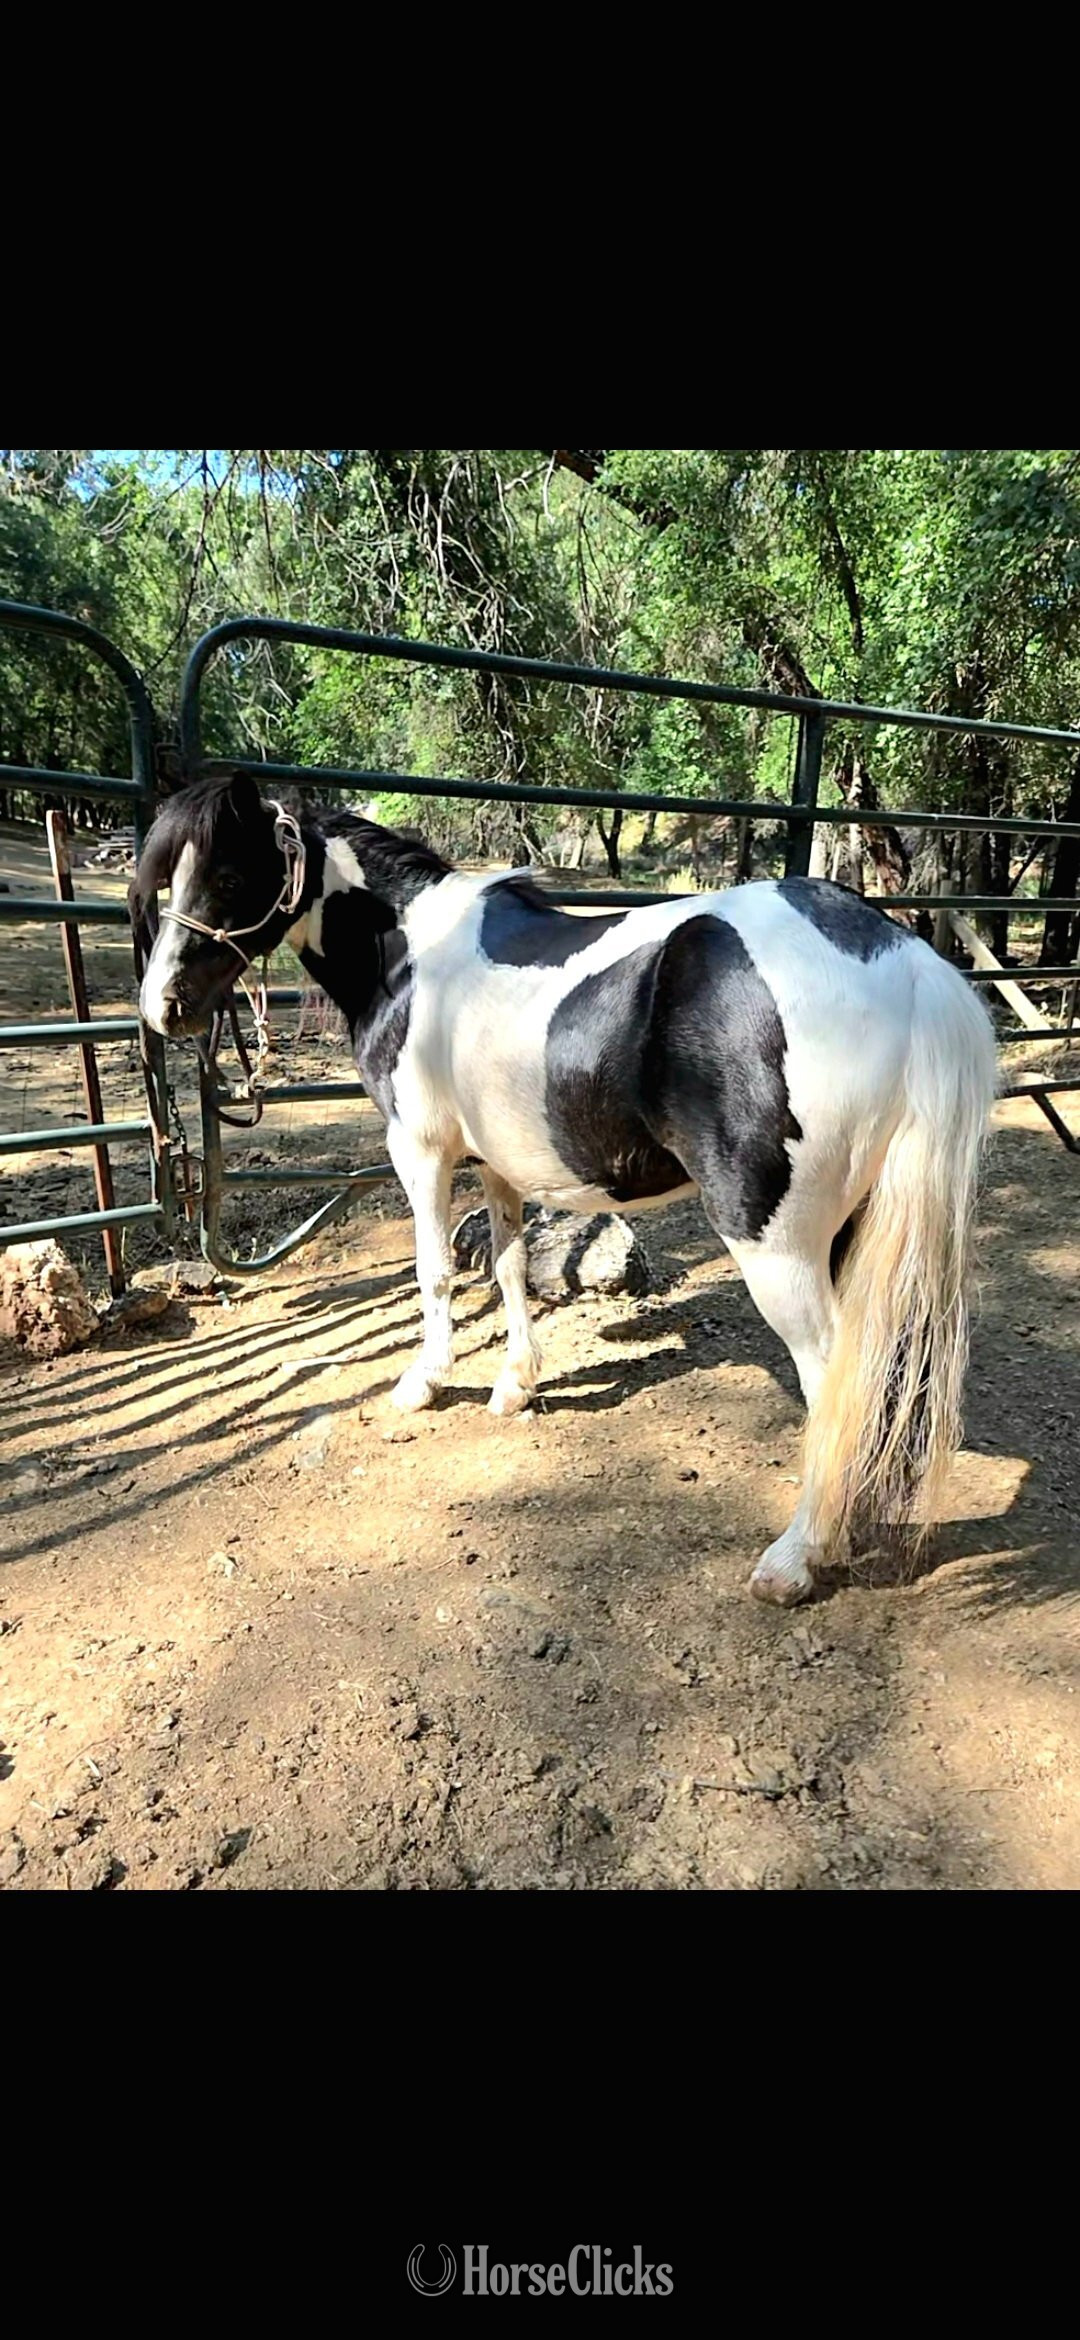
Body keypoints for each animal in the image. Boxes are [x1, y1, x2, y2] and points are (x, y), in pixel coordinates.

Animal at [133, 769, 998, 1607]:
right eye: (168, 873)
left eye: (229, 873)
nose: (162, 1007)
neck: (406, 956)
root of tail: (902, 959)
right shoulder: (496, 1165)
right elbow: (509, 1267)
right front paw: (515, 1385)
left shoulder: (420, 1152)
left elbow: (434, 1272)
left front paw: (423, 1382)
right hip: (857, 1224)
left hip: (775, 1243)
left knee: (831, 1372)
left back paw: (797, 1556)